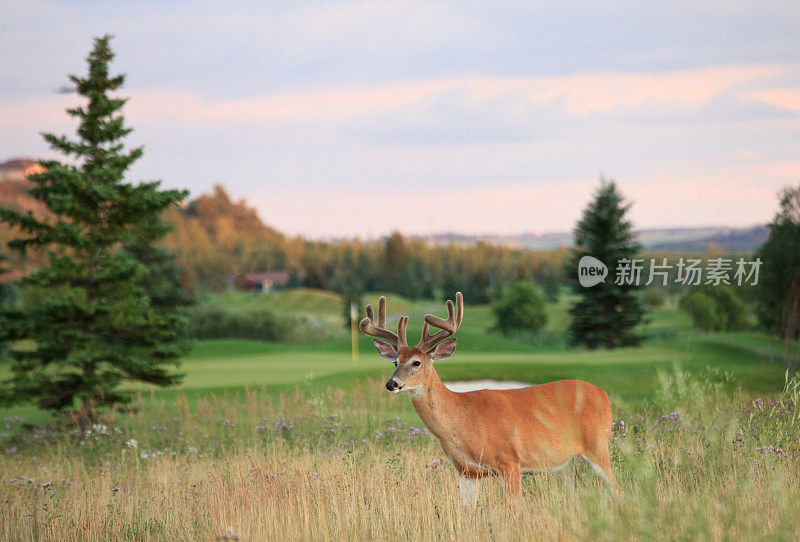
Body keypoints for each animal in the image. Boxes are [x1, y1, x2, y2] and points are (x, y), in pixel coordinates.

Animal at [360, 292, 616, 508]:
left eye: (416, 362)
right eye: (395, 362)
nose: (391, 383)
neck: (462, 420)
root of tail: (603, 394)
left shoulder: (510, 461)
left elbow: (516, 509)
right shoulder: (466, 471)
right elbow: (468, 511)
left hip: (598, 446)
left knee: (616, 489)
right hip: (564, 465)